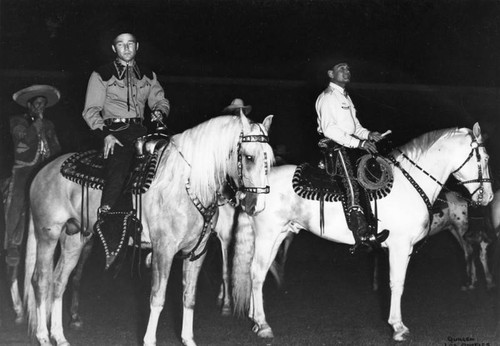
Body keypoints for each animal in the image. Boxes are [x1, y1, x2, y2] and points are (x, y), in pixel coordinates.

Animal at [22, 114, 274, 346]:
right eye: (248, 157)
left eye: (268, 160)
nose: (257, 206)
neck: (186, 184)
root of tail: (43, 171)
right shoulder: (164, 250)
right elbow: (157, 298)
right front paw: (149, 340)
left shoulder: (195, 253)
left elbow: (189, 297)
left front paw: (188, 339)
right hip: (48, 235)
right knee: (41, 280)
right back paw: (43, 336)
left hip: (75, 238)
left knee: (58, 282)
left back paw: (59, 336)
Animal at [230, 123, 492, 340]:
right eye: (486, 158)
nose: (487, 197)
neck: (410, 183)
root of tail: (253, 189)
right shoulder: (399, 246)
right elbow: (397, 283)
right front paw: (398, 327)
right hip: (268, 236)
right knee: (256, 273)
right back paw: (263, 325)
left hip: (279, 235)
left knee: (259, 271)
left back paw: (255, 320)